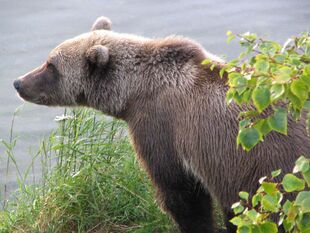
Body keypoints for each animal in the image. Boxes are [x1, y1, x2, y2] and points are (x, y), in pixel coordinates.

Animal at [13, 16, 310, 233]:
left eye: (51, 65)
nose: (18, 82)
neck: (131, 94)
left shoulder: (162, 128)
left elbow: (181, 193)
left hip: (277, 177)